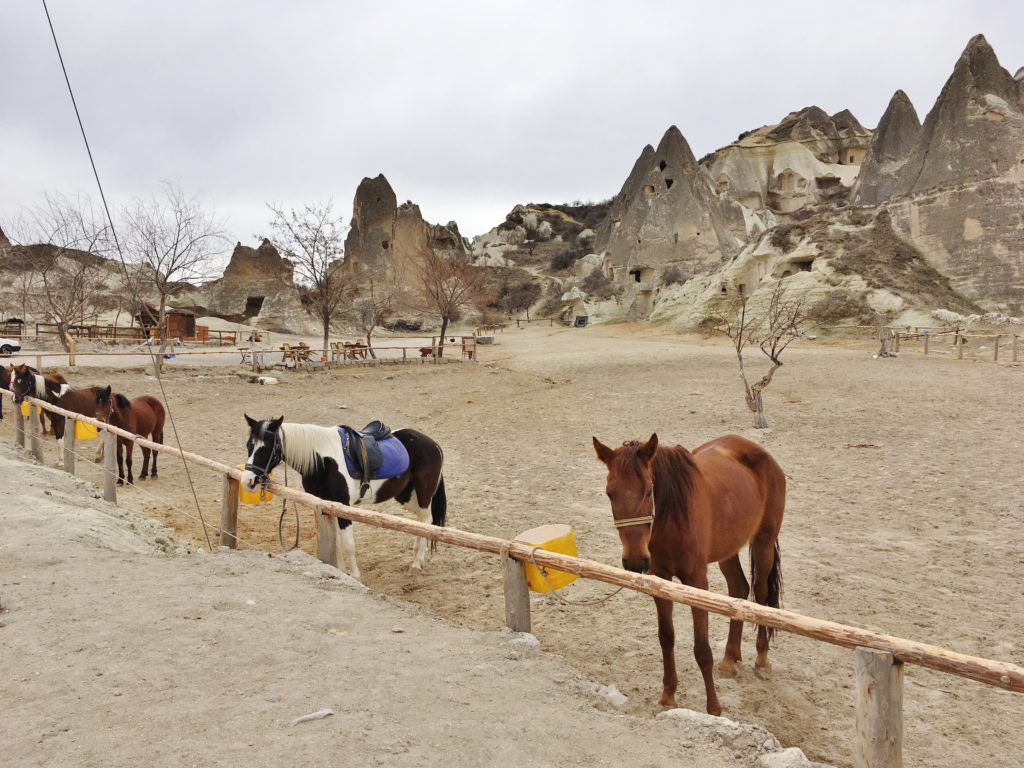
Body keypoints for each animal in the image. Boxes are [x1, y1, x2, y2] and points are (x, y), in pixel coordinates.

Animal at [240, 415, 447, 581]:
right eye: (249, 445)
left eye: (266, 447)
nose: (247, 480)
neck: (322, 461)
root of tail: (433, 444)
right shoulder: (326, 507)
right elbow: (337, 543)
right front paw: (339, 570)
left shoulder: (343, 506)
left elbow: (348, 545)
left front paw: (354, 576)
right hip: (406, 496)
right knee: (420, 522)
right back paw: (418, 555)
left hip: (423, 493)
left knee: (427, 520)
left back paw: (416, 563)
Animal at [592, 433, 785, 716]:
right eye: (609, 494)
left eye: (649, 489)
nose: (635, 560)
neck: (672, 520)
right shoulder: (661, 581)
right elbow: (666, 638)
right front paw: (668, 695)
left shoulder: (697, 583)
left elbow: (702, 649)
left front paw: (713, 708)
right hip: (728, 549)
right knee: (738, 590)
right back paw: (730, 658)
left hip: (763, 543)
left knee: (760, 596)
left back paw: (761, 658)